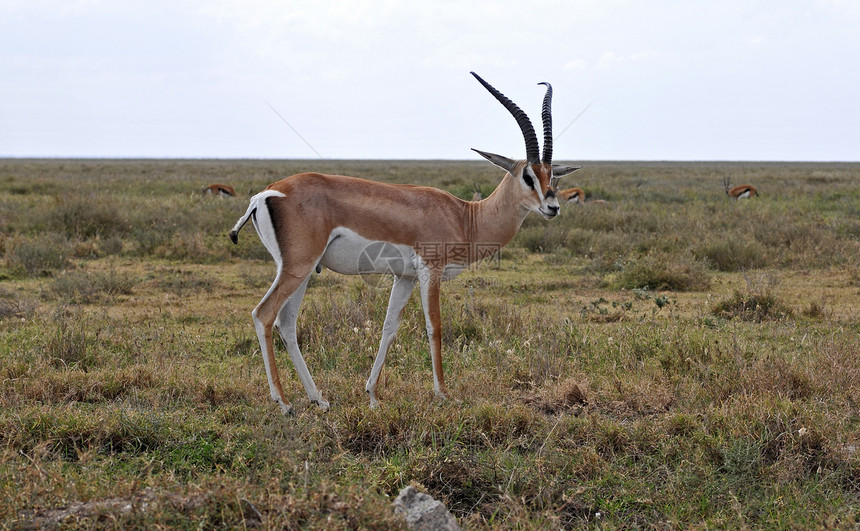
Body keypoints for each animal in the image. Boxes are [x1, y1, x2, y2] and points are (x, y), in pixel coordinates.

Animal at [228, 72, 580, 416]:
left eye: (552, 176)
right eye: (527, 176)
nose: (553, 207)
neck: (466, 216)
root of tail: (266, 193)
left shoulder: (404, 277)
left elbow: (389, 328)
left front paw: (372, 394)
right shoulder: (429, 271)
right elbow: (434, 327)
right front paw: (443, 394)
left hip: (301, 270)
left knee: (287, 324)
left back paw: (318, 399)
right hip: (297, 268)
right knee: (264, 314)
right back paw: (283, 402)